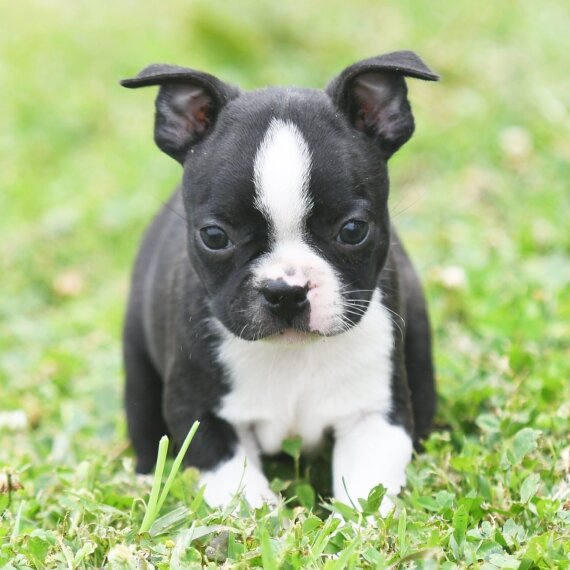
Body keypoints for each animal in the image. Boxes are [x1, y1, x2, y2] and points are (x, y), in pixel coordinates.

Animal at [121, 50, 438, 515]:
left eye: (353, 230)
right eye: (214, 237)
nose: (285, 291)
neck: (292, 355)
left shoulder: (374, 413)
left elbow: (365, 493)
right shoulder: (199, 412)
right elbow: (236, 484)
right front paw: (261, 517)